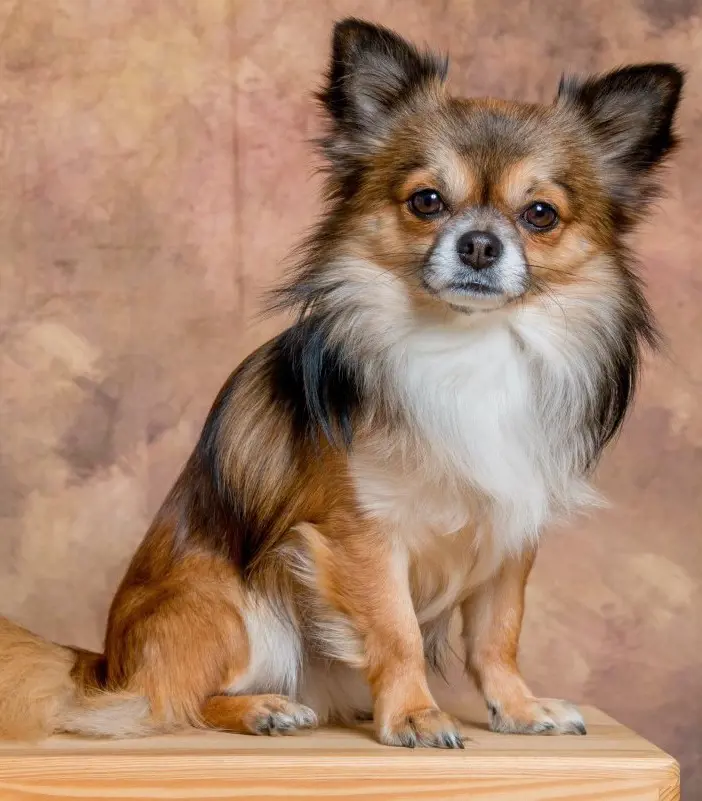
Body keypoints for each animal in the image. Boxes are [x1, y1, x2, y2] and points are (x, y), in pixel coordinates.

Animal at [0, 15, 680, 748]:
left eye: (540, 215)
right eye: (427, 202)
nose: (478, 244)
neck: (468, 345)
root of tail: (106, 662)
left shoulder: (508, 528)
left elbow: (497, 636)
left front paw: (520, 709)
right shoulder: (363, 532)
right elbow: (397, 630)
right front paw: (414, 715)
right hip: (234, 603)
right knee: (174, 702)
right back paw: (263, 708)